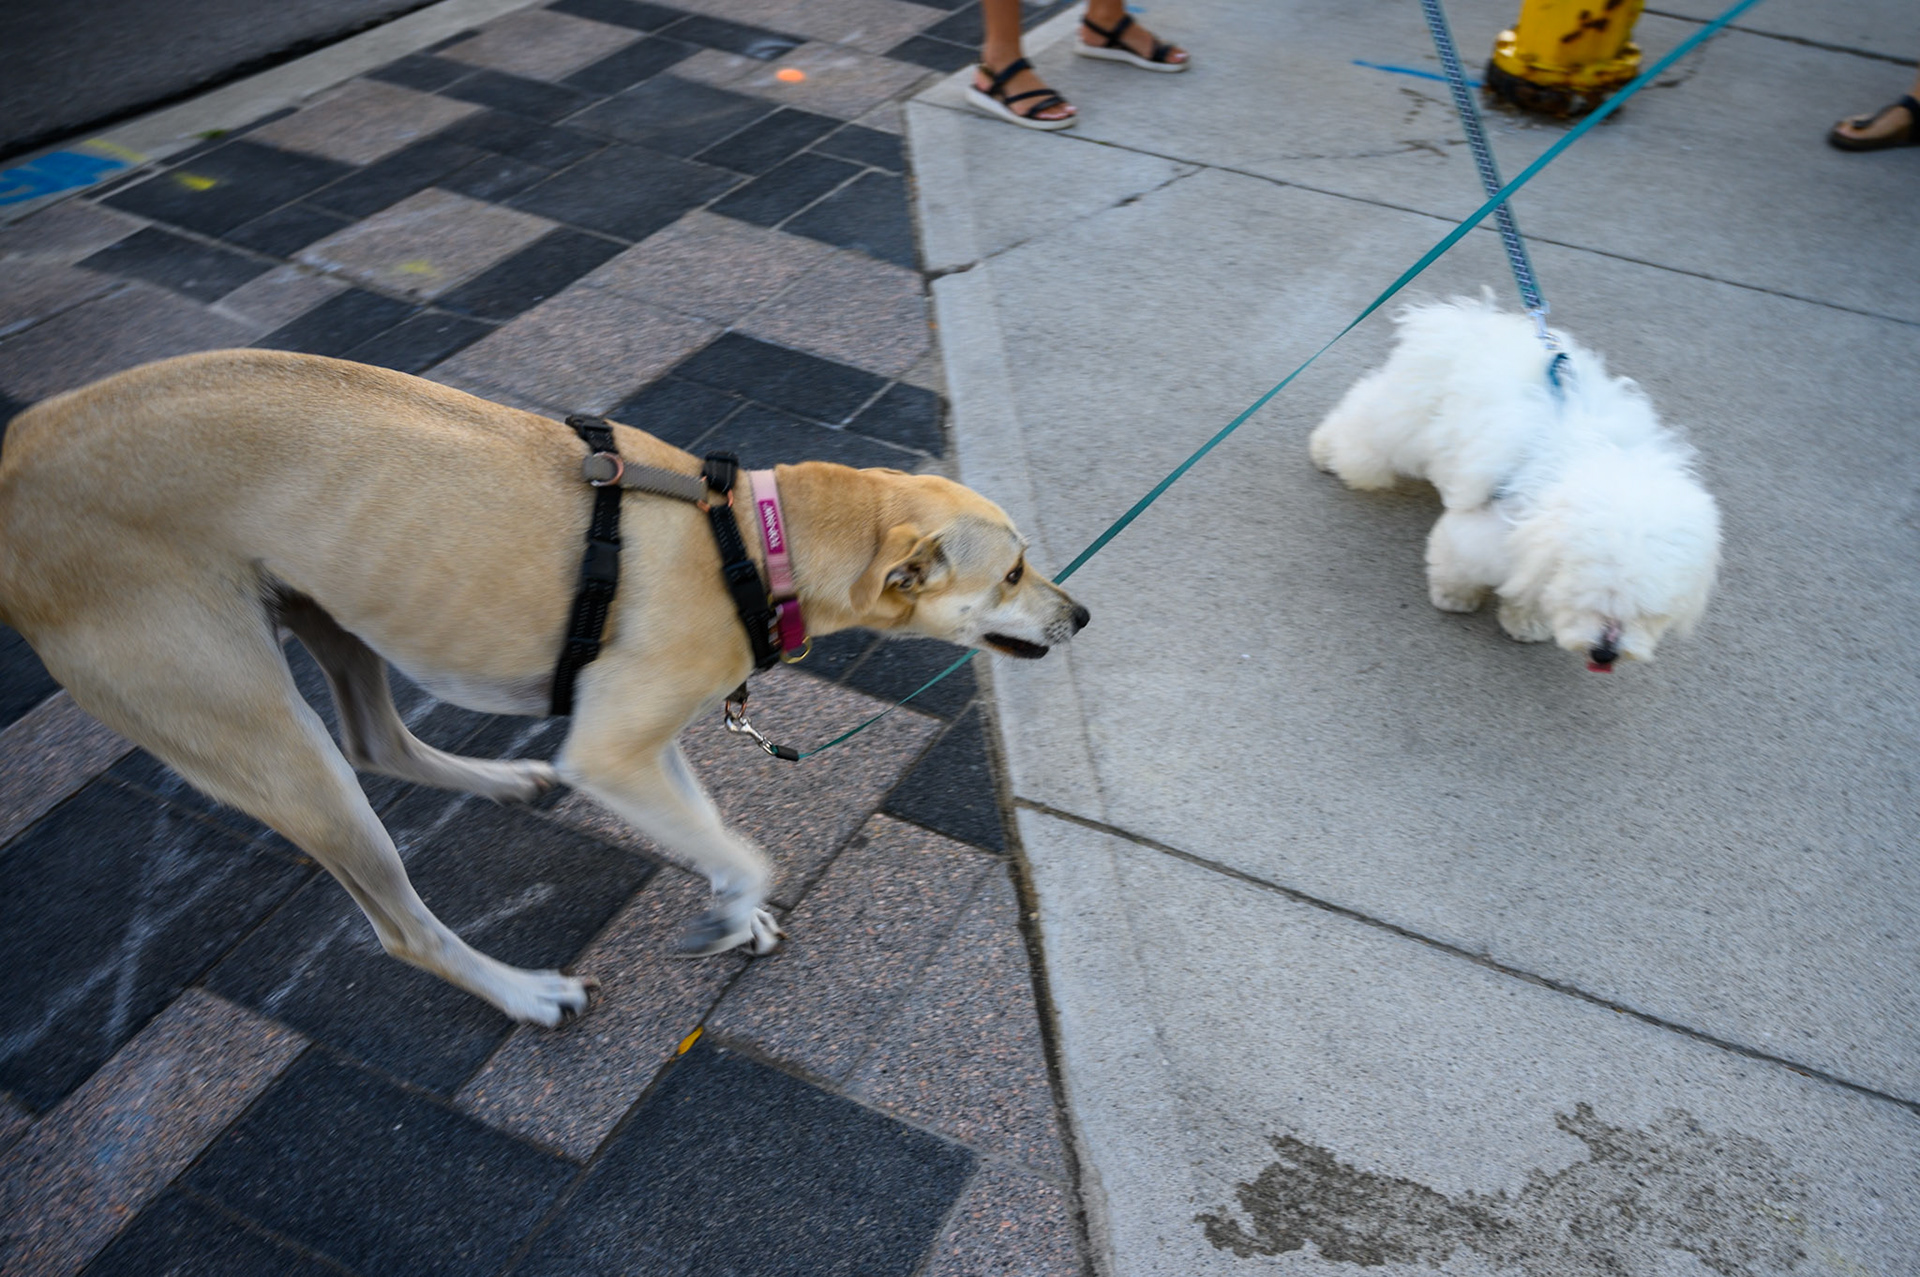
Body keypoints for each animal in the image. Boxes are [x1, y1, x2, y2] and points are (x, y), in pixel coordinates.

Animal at [0, 349, 1088, 1025]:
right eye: (1013, 571)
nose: (1079, 616)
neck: (751, 540)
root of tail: (14, 455)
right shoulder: (612, 749)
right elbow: (747, 848)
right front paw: (730, 908)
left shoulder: (643, 747)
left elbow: (717, 835)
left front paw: (732, 909)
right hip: (265, 736)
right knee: (399, 924)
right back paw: (525, 993)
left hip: (328, 616)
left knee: (376, 737)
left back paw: (509, 781)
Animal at [1308, 296, 1719, 671]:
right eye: (1592, 597)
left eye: (1647, 613)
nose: (1606, 654)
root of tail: (1465, 319)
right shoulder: (1487, 529)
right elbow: (1459, 561)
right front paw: (1454, 595)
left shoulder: (1532, 549)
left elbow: (1530, 588)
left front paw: (1526, 621)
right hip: (1401, 423)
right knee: (1361, 422)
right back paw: (1325, 450)